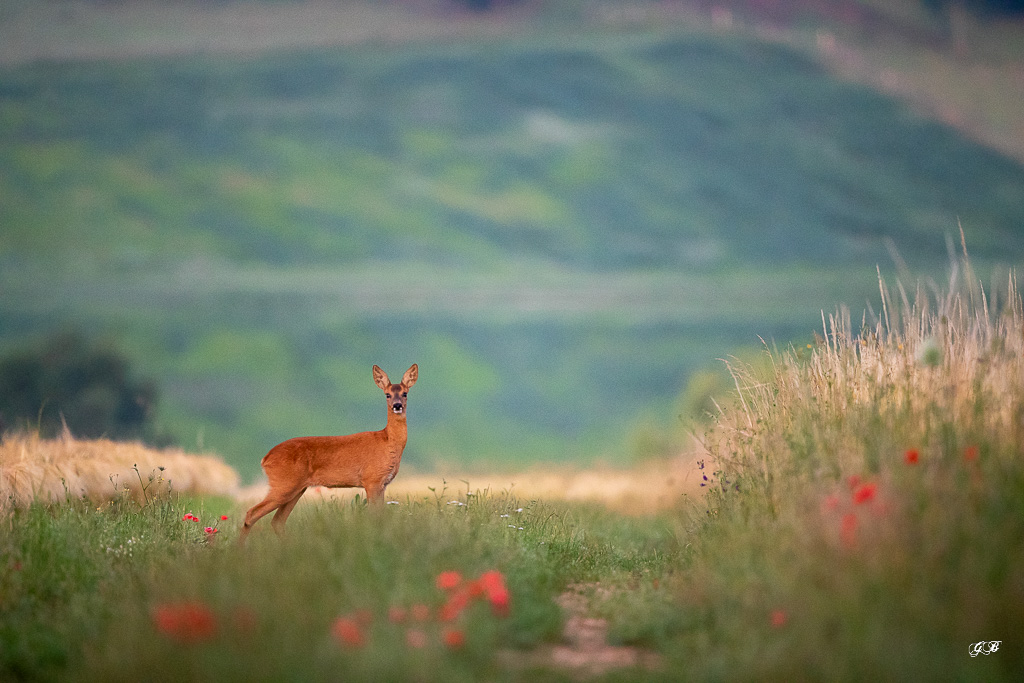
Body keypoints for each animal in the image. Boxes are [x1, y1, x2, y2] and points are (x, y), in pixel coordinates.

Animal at [239, 364, 418, 542]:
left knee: (277, 521)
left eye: (405, 393)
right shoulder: (371, 479)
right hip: (283, 484)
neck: (388, 442)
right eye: (387, 394)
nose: (397, 405)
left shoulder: (382, 484)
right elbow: (374, 516)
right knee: (251, 514)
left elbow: (380, 516)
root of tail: (265, 458)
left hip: (296, 488)